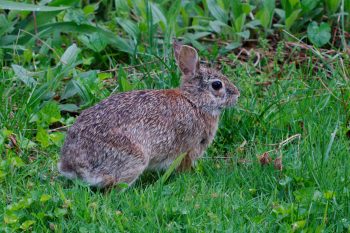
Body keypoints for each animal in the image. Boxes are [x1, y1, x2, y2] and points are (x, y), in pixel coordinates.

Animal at [57, 41, 239, 187]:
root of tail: (72, 165)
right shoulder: (188, 148)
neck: (194, 101)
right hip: (134, 159)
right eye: (217, 85)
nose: (237, 94)